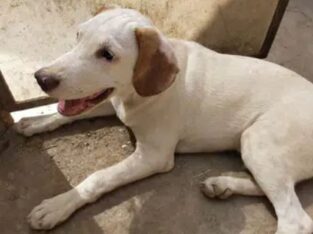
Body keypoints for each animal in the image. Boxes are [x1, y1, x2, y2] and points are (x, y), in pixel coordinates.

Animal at [15, 5, 313, 234]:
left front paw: (57, 206)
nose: (41, 78)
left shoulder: (154, 156)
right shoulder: (111, 101)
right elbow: (65, 114)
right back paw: (222, 185)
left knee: (296, 220)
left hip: (258, 141)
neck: (133, 95)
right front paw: (35, 122)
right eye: (78, 35)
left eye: (107, 55)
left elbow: (98, 178)